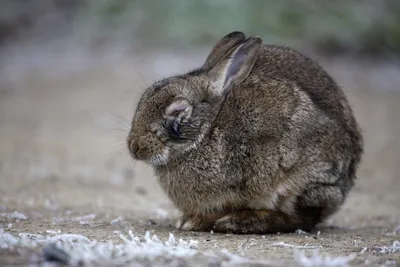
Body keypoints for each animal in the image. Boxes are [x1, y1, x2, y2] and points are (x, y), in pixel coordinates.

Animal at [127, 31, 362, 234]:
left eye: (177, 112)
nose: (134, 147)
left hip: (301, 179)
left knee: (301, 218)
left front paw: (193, 222)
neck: (207, 129)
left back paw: (238, 222)